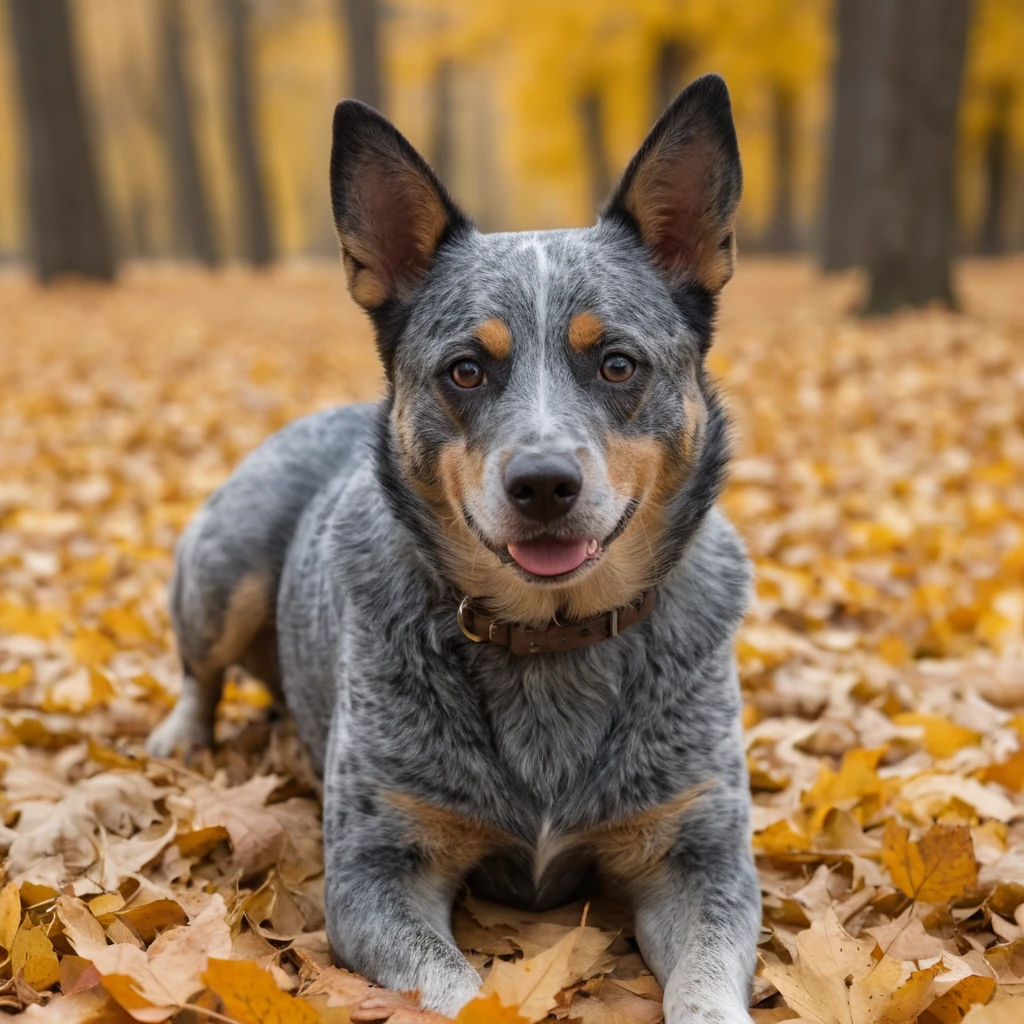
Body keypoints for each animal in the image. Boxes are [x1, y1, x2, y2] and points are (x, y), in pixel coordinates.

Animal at [149, 74, 761, 1024]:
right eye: (466, 369)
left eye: (618, 364)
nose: (543, 482)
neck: (549, 639)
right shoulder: (378, 868)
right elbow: (452, 987)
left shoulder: (701, 854)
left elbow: (703, 982)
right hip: (227, 562)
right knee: (200, 669)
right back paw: (182, 734)